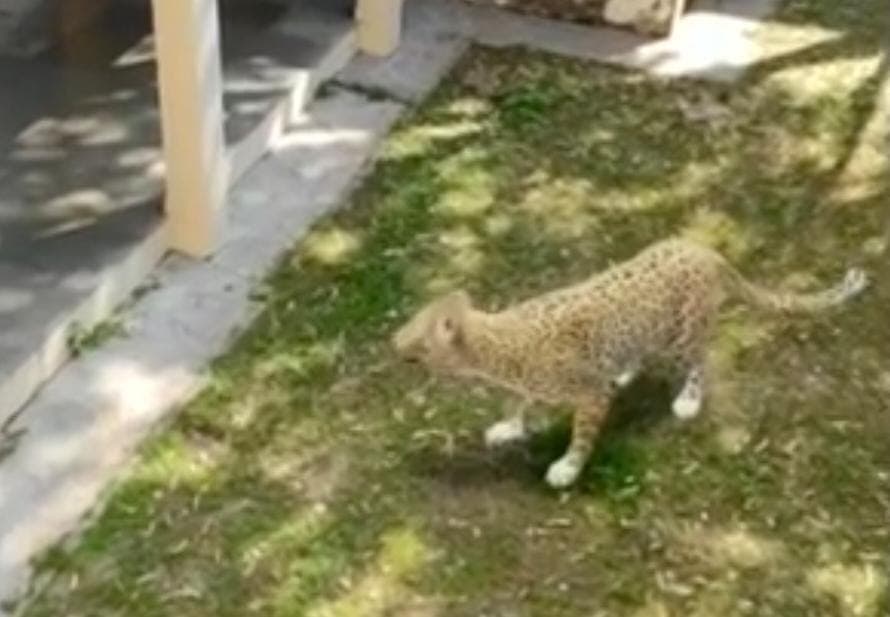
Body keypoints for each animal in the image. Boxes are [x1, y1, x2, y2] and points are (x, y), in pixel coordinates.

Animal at [392, 237, 868, 489]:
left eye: (415, 334)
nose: (392, 341)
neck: (491, 351)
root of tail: (704, 249)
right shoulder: (522, 384)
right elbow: (515, 404)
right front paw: (508, 426)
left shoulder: (588, 396)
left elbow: (582, 437)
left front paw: (567, 468)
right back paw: (623, 371)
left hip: (683, 335)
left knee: (698, 362)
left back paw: (688, 399)